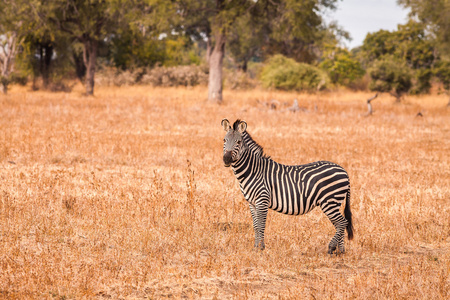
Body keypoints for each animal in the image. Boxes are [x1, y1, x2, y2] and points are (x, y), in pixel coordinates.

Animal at [220, 118, 354, 254]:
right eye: (224, 140)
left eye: (238, 142)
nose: (226, 159)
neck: (253, 171)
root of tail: (344, 171)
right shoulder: (252, 203)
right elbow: (256, 226)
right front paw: (255, 247)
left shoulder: (262, 200)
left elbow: (261, 225)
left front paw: (261, 248)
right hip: (334, 203)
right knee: (340, 224)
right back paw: (340, 251)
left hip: (329, 201)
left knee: (342, 222)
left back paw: (332, 247)